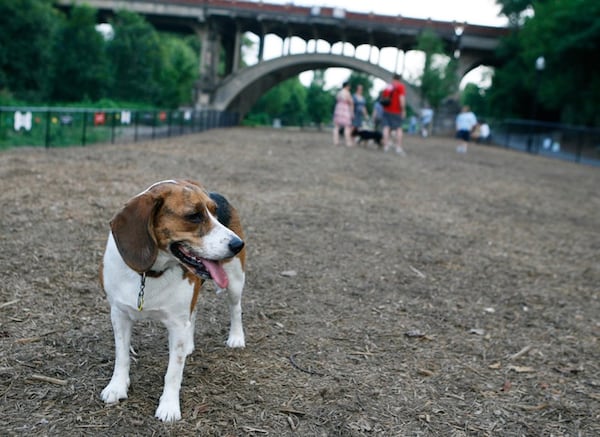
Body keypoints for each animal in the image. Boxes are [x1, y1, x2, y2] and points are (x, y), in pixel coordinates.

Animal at [99, 179, 245, 420]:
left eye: (214, 212)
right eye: (194, 216)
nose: (238, 244)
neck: (149, 274)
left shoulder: (176, 324)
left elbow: (173, 373)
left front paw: (168, 406)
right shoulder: (119, 315)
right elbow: (122, 356)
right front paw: (117, 387)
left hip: (234, 281)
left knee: (235, 309)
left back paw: (236, 338)